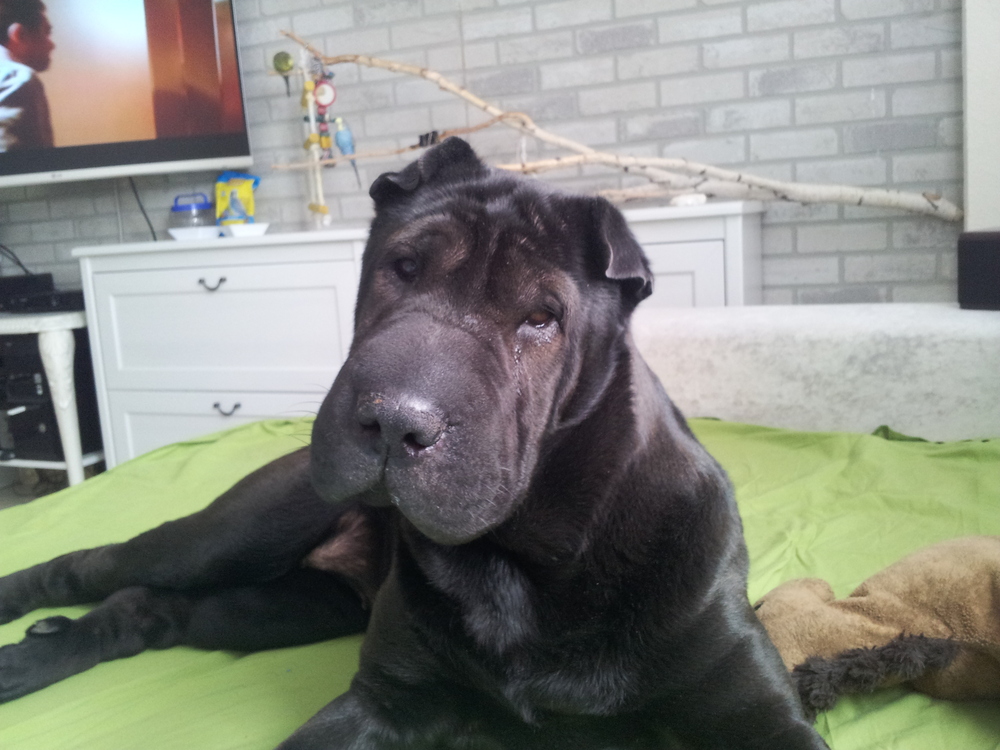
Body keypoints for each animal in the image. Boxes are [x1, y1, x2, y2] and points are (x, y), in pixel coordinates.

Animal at [0, 139, 827, 749]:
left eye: (542, 317)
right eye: (400, 267)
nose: (394, 421)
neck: (525, 560)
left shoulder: (758, 716)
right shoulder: (384, 701)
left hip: (274, 607)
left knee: (149, 609)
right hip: (229, 537)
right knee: (97, 566)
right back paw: (26, 636)